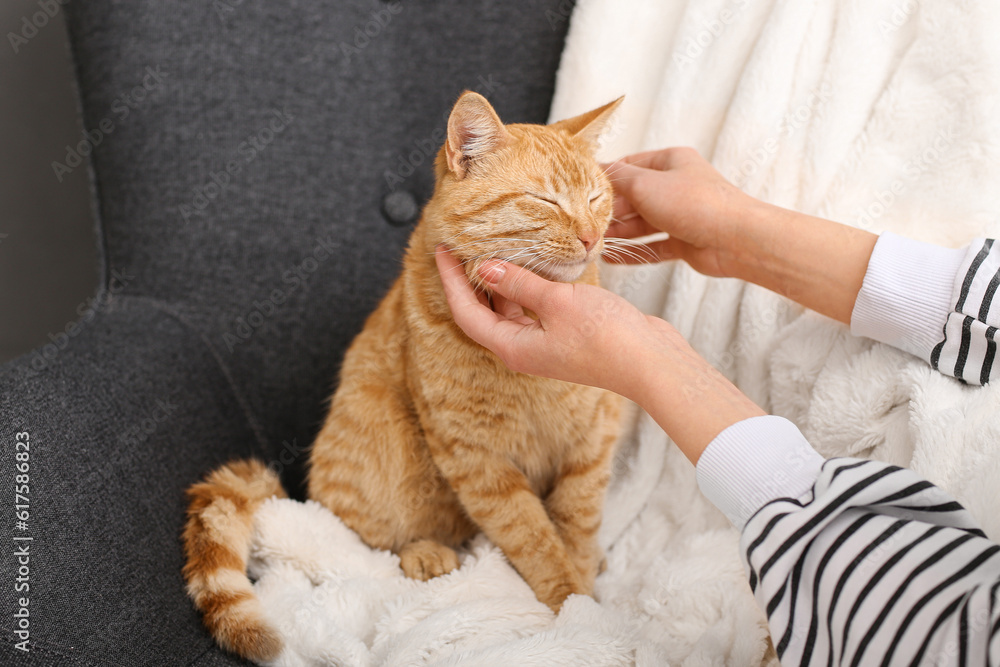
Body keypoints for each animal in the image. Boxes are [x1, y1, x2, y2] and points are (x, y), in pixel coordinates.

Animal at [179, 92, 616, 664]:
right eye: (545, 201)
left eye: (596, 197)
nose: (591, 237)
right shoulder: (474, 457)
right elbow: (534, 537)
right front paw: (575, 607)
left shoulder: (593, 438)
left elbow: (578, 521)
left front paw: (588, 587)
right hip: (389, 437)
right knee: (370, 541)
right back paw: (426, 554)